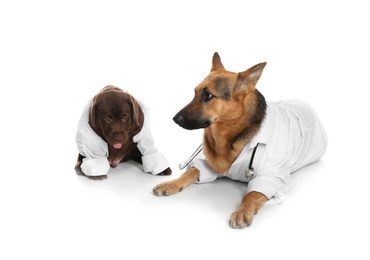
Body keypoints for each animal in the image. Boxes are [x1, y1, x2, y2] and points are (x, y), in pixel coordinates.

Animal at [155, 52, 328, 228]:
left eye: (208, 95)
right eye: (195, 93)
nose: (175, 119)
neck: (229, 134)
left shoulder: (271, 177)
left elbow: (252, 194)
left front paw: (242, 211)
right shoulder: (206, 164)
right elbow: (190, 171)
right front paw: (171, 183)